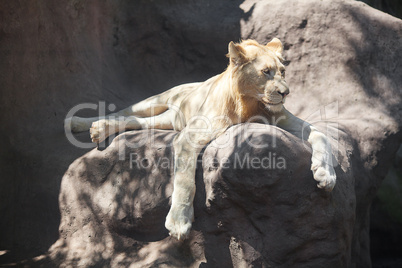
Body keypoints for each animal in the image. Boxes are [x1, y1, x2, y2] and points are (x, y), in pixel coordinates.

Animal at [66, 39, 336, 241]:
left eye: (282, 72)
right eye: (265, 72)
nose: (285, 92)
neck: (250, 105)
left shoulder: (284, 119)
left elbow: (321, 134)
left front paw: (325, 174)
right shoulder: (189, 136)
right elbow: (185, 180)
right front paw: (179, 222)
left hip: (168, 120)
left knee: (133, 121)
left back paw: (99, 129)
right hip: (156, 101)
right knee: (124, 111)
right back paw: (80, 123)